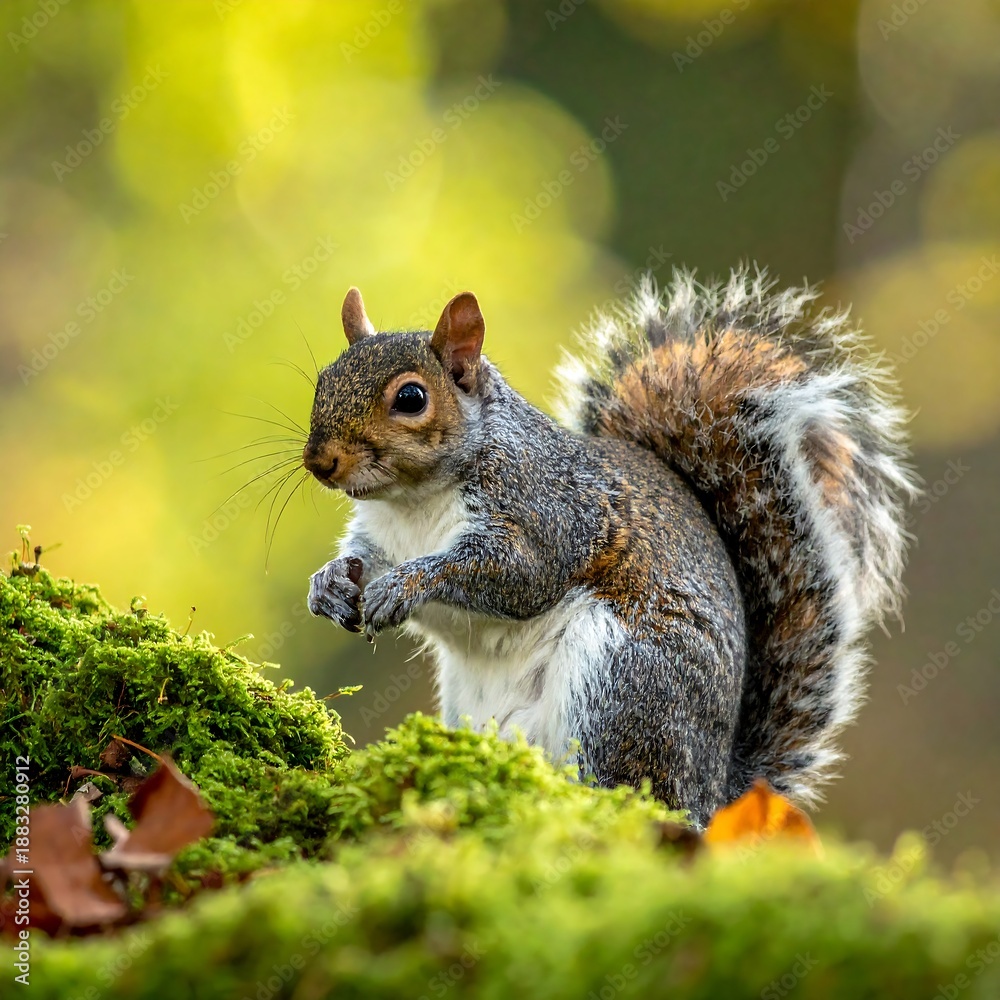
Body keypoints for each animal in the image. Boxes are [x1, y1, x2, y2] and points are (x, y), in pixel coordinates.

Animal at [303, 269, 917, 827]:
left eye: (411, 398)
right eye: (323, 380)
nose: (319, 461)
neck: (414, 502)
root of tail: (714, 794)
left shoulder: (547, 515)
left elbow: (515, 576)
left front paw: (406, 584)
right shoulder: (380, 537)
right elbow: (360, 562)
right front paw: (328, 585)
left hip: (621, 681)